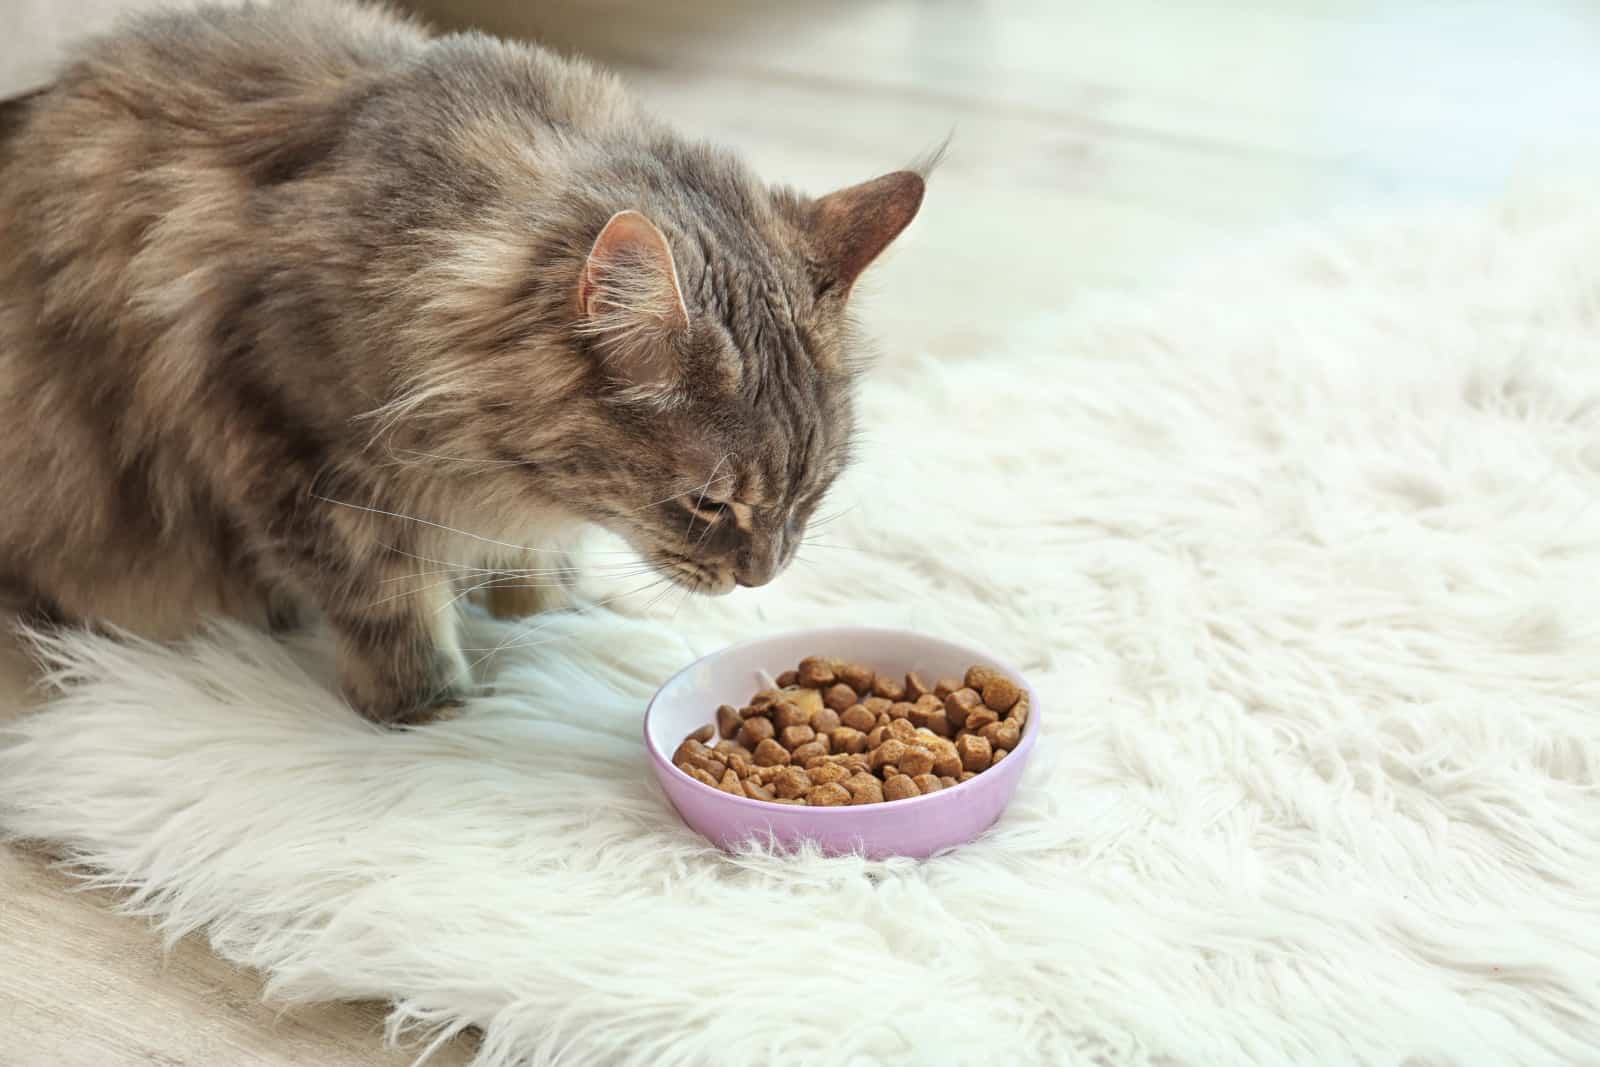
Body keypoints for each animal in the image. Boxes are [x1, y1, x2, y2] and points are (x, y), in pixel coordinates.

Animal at [0, 0, 928, 726]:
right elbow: (384, 598)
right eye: (707, 503)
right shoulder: (284, 437)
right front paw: (430, 705)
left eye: (813, 493)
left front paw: (546, 609)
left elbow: (527, 559)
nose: (762, 575)